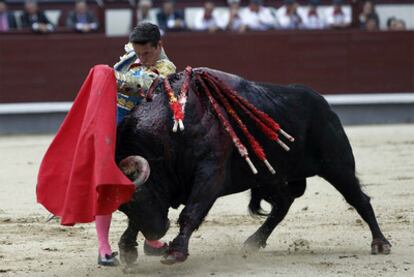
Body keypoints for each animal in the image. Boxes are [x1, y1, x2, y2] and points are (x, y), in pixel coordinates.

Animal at [114, 67, 392, 264]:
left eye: (141, 197)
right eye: (124, 206)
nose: (157, 232)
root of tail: (323, 103)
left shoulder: (210, 173)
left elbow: (191, 211)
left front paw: (176, 252)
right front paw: (127, 248)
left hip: (337, 165)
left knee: (359, 199)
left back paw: (380, 243)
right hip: (270, 175)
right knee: (282, 204)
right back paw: (254, 241)